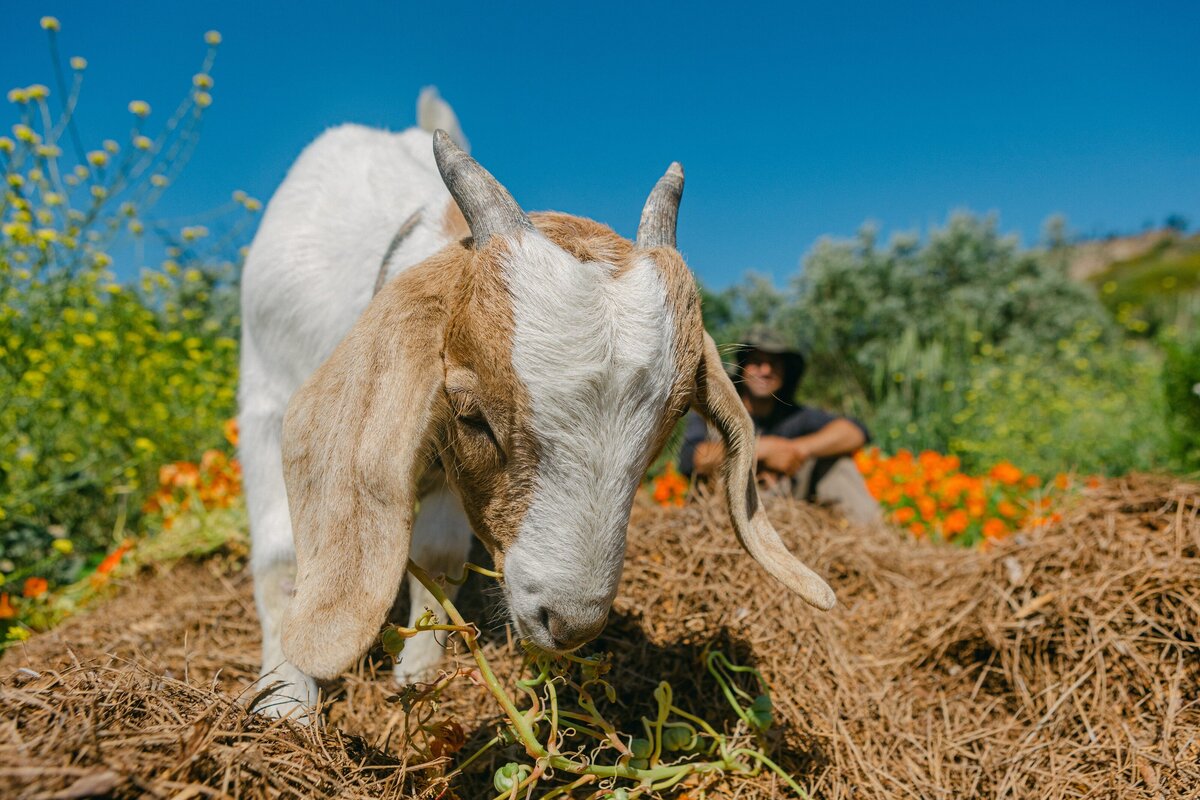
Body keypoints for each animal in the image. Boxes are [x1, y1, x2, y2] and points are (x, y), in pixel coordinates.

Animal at [236, 94, 835, 719]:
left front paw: (419, 674)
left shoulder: (450, 471)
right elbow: (279, 560)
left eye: (665, 432)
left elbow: (439, 556)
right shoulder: (266, 406)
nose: (571, 624)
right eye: (473, 414)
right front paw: (285, 701)